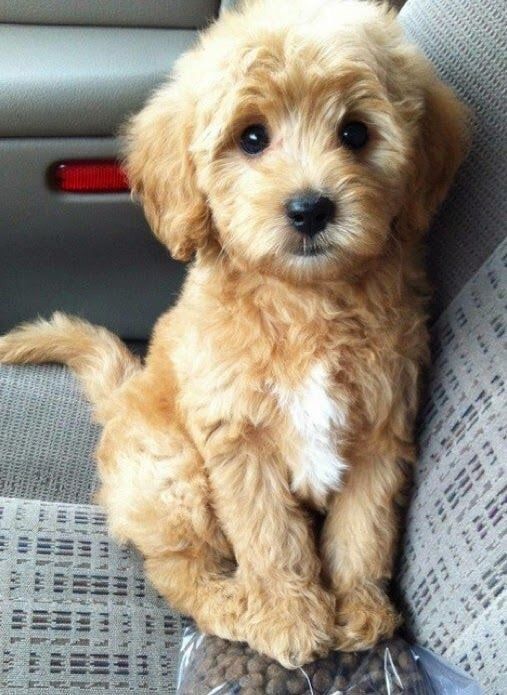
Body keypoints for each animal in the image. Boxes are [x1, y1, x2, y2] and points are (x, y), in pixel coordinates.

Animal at [0, 0, 468, 668]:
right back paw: (230, 602)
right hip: (170, 472)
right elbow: (270, 535)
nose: (310, 209)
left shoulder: (381, 430)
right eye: (252, 138)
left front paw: (357, 609)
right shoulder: (238, 438)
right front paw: (290, 615)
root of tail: (121, 397)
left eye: (356, 133)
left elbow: (363, 528)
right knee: (176, 568)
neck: (304, 303)